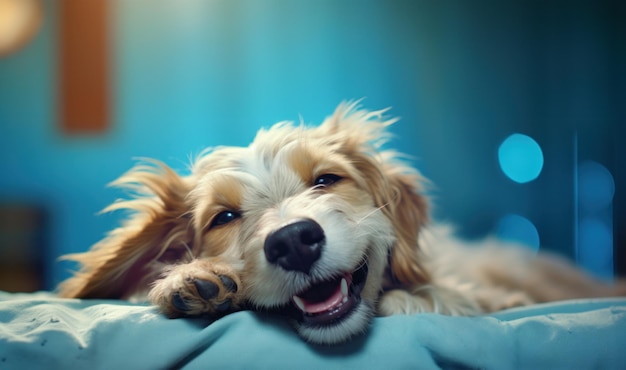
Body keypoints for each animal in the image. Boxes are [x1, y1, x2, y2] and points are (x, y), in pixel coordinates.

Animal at [57, 101, 620, 344]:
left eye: (326, 179)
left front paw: (421, 299)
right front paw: (192, 281)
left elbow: (457, 297)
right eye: (224, 217)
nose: (293, 241)